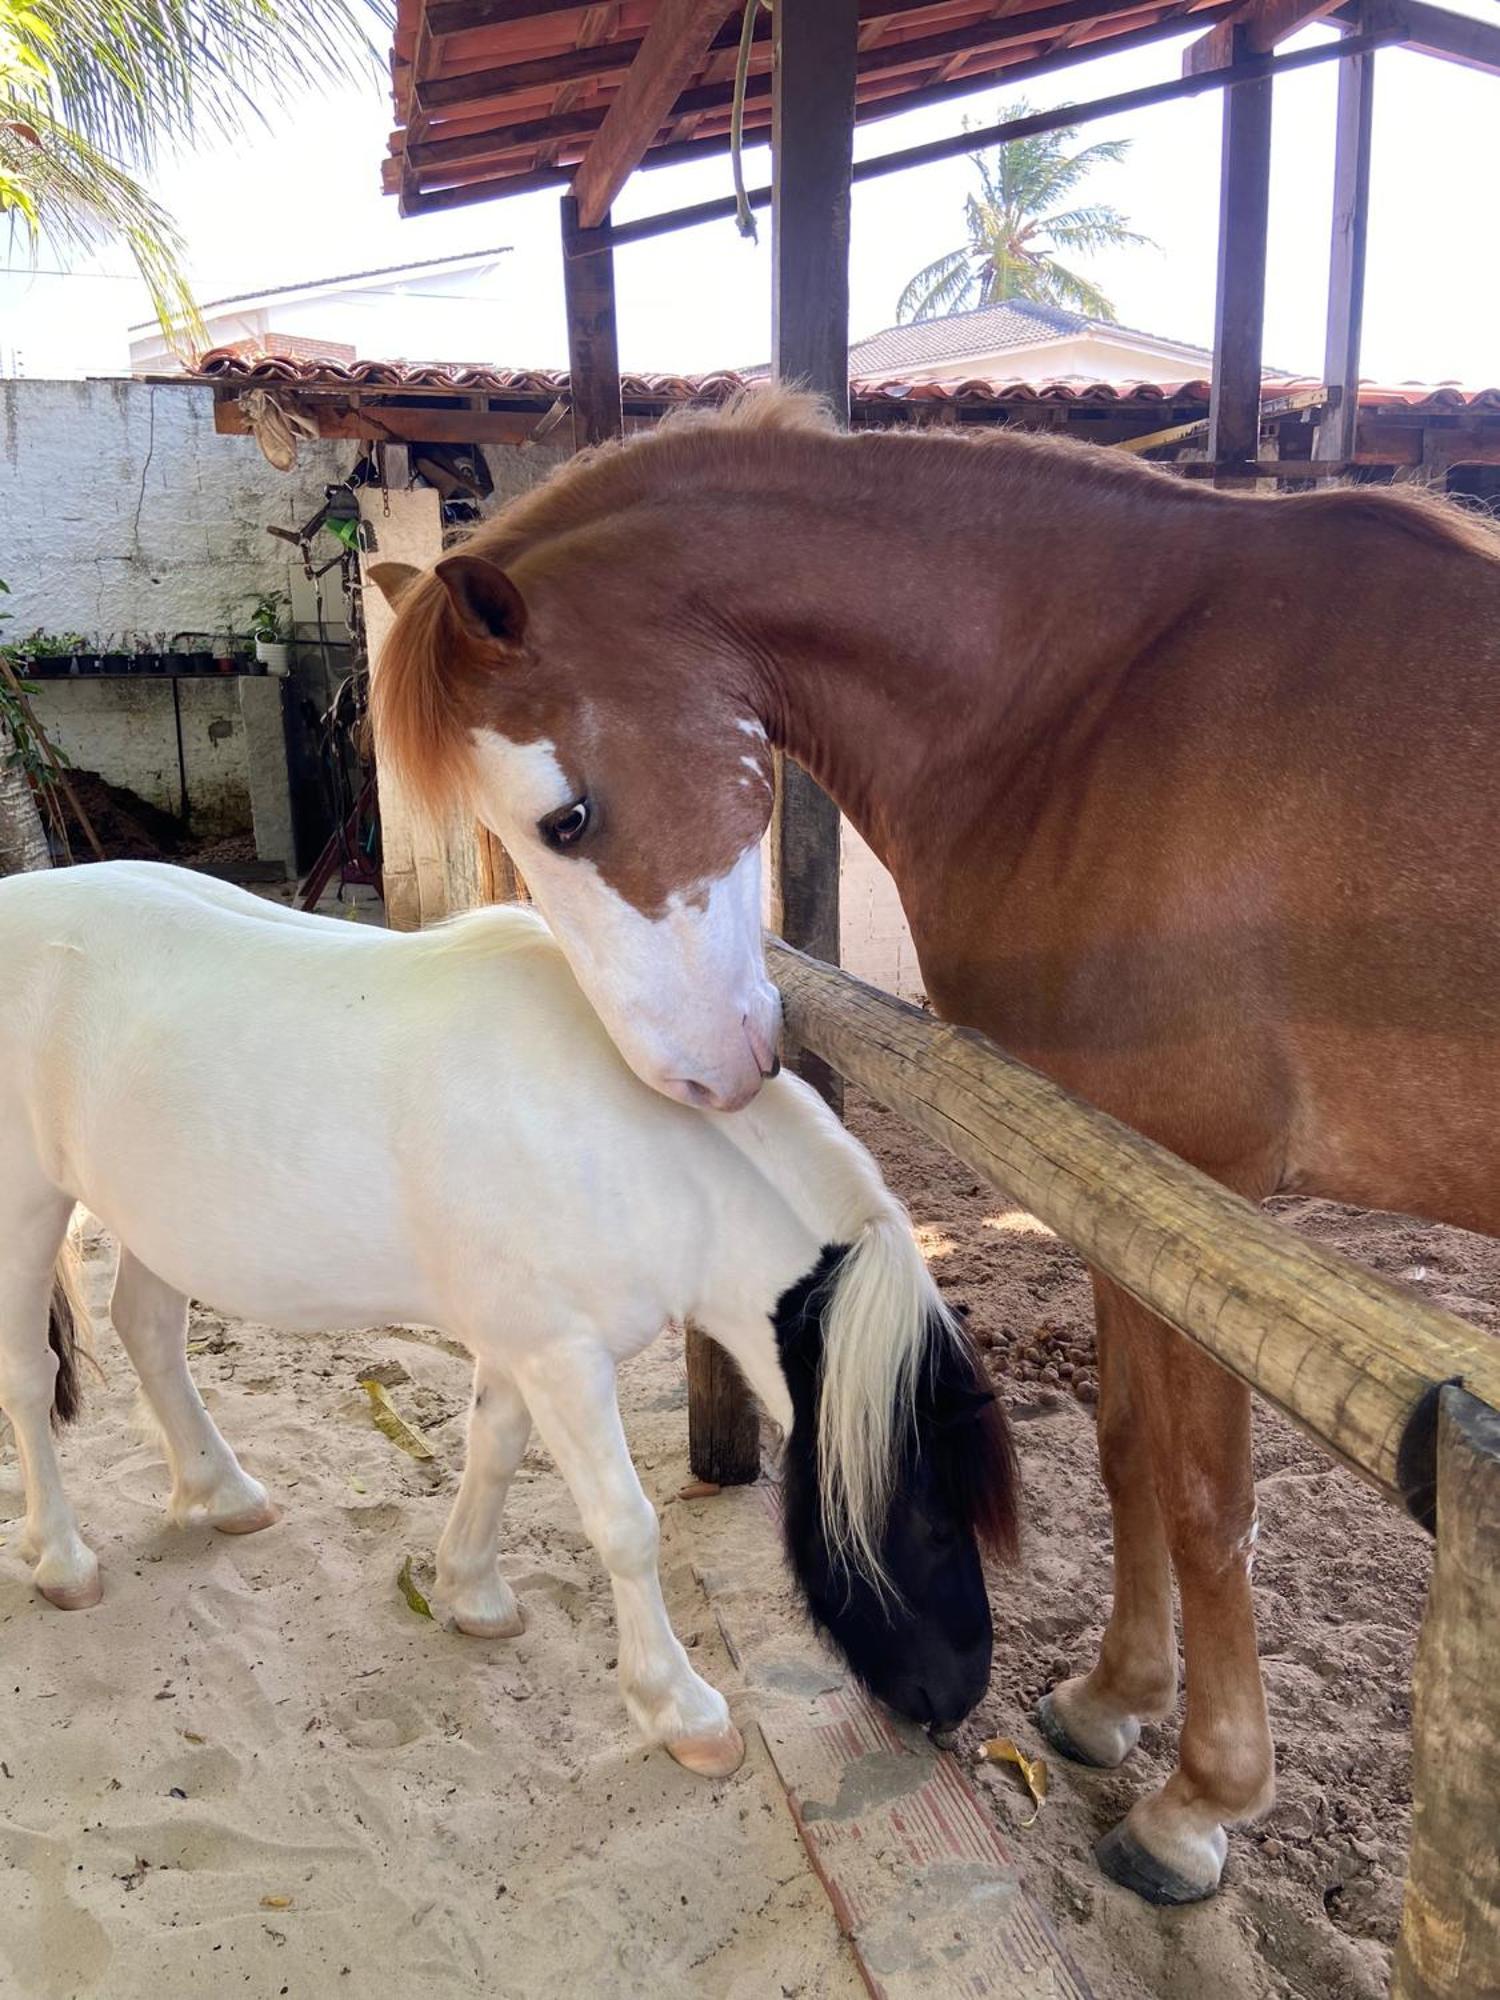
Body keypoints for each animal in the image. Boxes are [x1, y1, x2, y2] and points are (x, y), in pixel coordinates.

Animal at [0, 868, 1016, 1776]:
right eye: (930, 1519)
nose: (960, 1696)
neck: (630, 1148)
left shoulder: (523, 1344)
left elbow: (492, 1451)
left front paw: (471, 1594)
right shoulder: (565, 1358)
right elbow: (625, 1525)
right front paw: (681, 1711)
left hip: (157, 1220)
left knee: (148, 1331)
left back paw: (222, 1492)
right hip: (29, 1210)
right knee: (29, 1381)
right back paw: (64, 1561)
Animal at [374, 390, 1500, 1904]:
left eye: (569, 815)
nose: (696, 1077)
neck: (1100, 702)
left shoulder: (1205, 1199)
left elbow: (1210, 1501)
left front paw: (1198, 1804)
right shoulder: (1109, 1185)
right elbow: (1130, 1449)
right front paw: (1110, 1703)